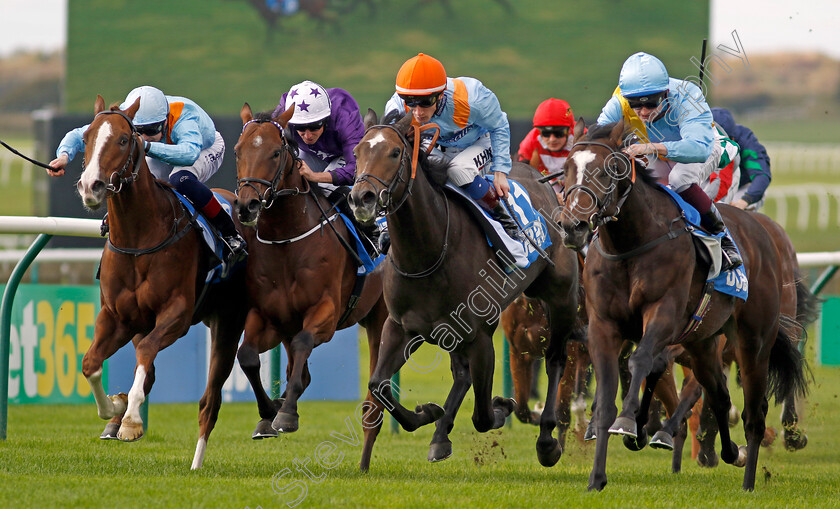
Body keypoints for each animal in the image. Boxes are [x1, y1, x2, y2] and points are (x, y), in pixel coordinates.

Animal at [75, 95, 248, 468]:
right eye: (86, 137)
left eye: (123, 139)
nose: (91, 186)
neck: (140, 238)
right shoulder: (116, 317)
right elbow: (91, 363)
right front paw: (116, 406)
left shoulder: (177, 315)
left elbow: (146, 351)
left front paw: (131, 421)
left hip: (229, 323)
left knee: (210, 401)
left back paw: (196, 464)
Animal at [230, 104, 388, 472]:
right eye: (238, 151)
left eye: (275, 152)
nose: (246, 205)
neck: (287, 241)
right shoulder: (268, 316)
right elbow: (247, 357)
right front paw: (268, 413)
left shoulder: (325, 313)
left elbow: (304, 344)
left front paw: (285, 414)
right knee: (296, 370)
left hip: (380, 318)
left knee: (373, 396)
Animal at [344, 110, 580, 464]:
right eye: (357, 152)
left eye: (395, 152)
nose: (361, 198)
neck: (428, 252)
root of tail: (544, 183)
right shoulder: (400, 327)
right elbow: (378, 384)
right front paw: (428, 414)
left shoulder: (480, 335)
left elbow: (482, 415)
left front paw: (501, 407)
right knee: (461, 374)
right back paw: (440, 435)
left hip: (560, 297)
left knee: (554, 360)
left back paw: (547, 439)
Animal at [560, 120, 812, 492]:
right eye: (566, 169)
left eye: (607, 171)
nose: (571, 226)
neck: (630, 245)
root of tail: (764, 233)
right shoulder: (604, 326)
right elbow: (606, 400)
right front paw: (596, 477)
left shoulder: (663, 313)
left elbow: (642, 360)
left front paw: (629, 420)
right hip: (703, 342)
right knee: (719, 395)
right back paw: (729, 452)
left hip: (754, 341)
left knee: (755, 411)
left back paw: (749, 481)